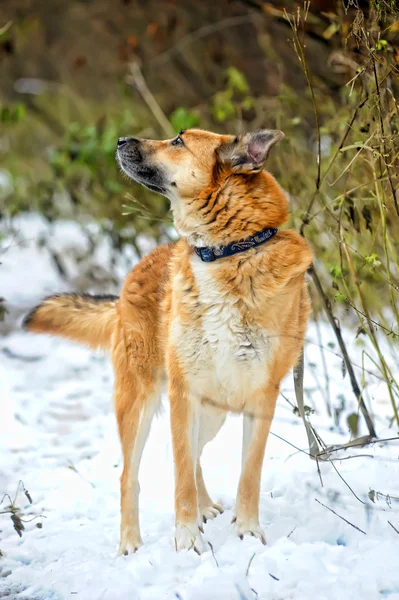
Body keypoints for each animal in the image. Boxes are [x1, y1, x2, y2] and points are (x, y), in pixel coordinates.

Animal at [23, 129, 314, 556]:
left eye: (177, 140)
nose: (120, 140)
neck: (225, 254)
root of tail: (134, 273)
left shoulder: (262, 398)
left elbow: (248, 474)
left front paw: (247, 532)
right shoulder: (182, 391)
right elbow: (179, 478)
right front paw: (187, 538)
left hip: (214, 410)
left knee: (195, 456)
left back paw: (206, 507)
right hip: (140, 401)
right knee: (132, 475)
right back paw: (130, 543)